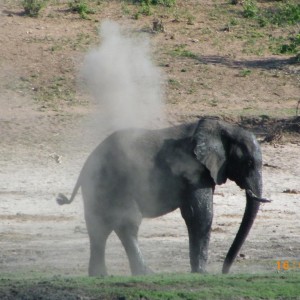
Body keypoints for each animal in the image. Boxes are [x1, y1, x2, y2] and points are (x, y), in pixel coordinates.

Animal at [56, 116, 270, 276]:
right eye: (249, 163)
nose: (224, 272)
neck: (222, 128)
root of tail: (86, 166)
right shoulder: (193, 169)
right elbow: (200, 215)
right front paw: (201, 273)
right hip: (117, 183)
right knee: (127, 222)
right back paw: (145, 273)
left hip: (97, 187)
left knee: (99, 228)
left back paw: (100, 276)